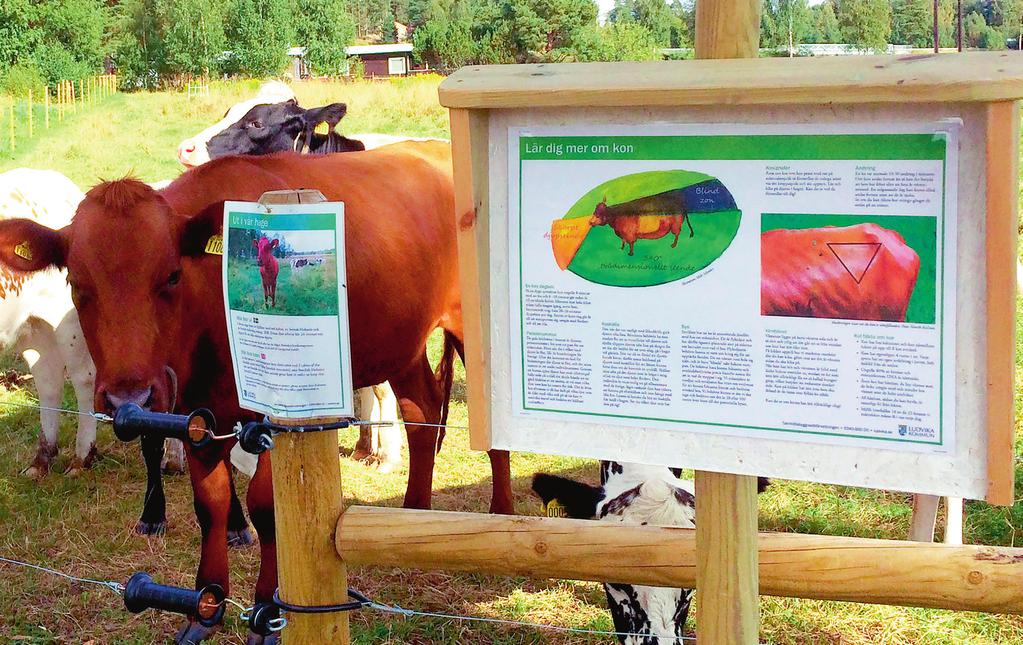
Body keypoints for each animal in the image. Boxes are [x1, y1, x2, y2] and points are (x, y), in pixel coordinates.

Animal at [0, 168, 96, 477]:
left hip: (68, 321)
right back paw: (42, 457)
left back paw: (83, 456)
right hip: (33, 326)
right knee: (48, 379)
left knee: (83, 377)